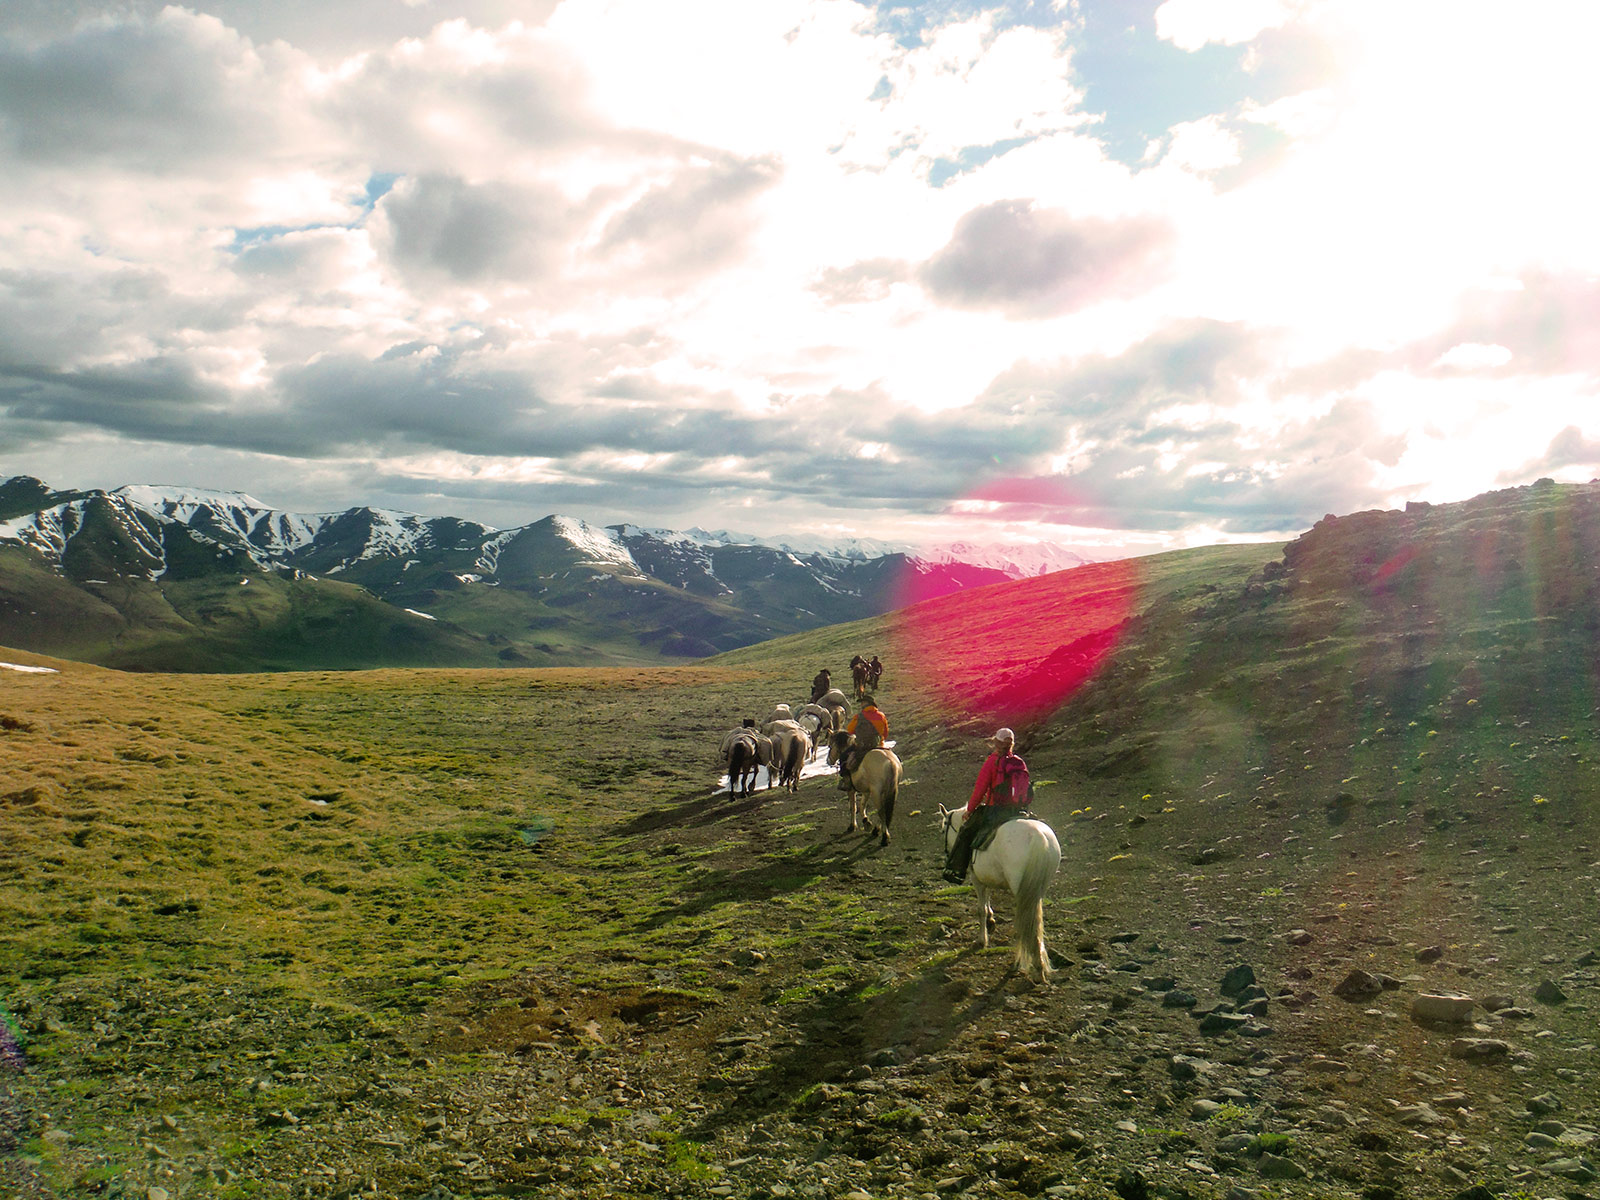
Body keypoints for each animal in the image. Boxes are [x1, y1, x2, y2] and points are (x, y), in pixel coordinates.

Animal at [934, 809, 1062, 985]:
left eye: (942, 829)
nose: (946, 853)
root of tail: (1040, 838)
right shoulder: (986, 878)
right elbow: (987, 902)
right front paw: (991, 920)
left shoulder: (976, 879)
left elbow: (980, 909)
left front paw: (982, 940)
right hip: (1037, 891)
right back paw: (1037, 967)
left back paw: (1023, 965)